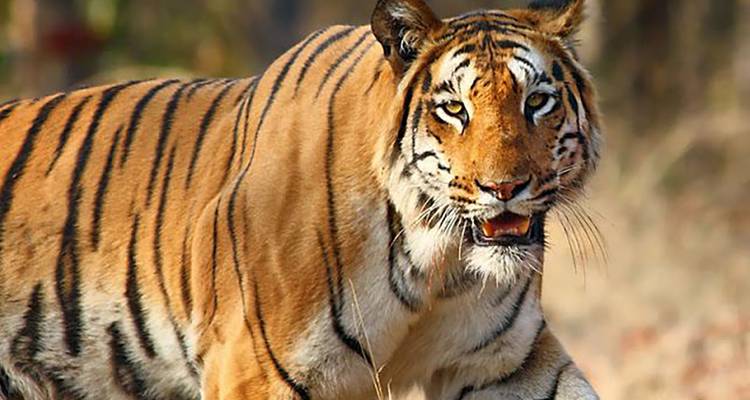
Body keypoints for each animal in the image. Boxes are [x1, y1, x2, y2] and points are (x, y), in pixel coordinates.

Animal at [0, 0, 602, 398]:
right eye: (454, 108)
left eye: (537, 101)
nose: (504, 188)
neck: (438, 264)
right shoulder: (255, 368)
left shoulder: (504, 363)